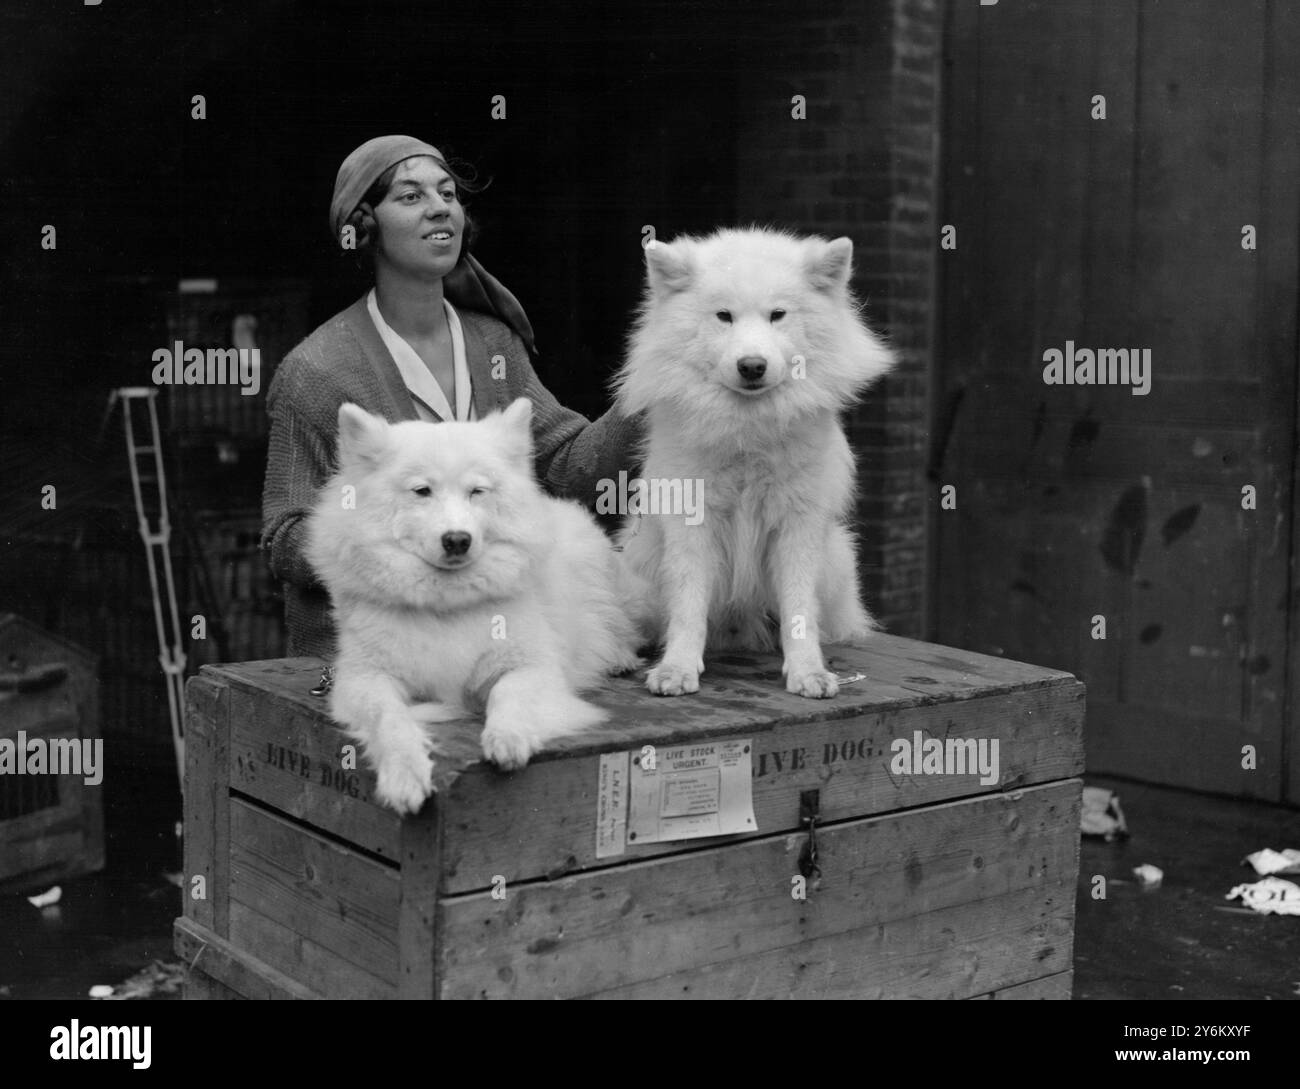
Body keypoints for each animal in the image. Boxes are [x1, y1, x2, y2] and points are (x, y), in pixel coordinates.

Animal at [309, 397, 644, 816]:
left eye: (476, 491)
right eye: (422, 491)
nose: (457, 540)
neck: (448, 605)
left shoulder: (532, 668)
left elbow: (508, 694)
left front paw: (508, 736)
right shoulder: (363, 680)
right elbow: (390, 719)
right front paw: (404, 776)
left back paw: (619, 656)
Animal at [608, 228, 894, 701]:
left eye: (778, 315)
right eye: (724, 316)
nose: (752, 366)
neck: (748, 432)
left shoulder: (797, 527)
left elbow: (799, 613)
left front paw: (807, 672)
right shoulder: (693, 524)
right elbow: (687, 608)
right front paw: (677, 669)